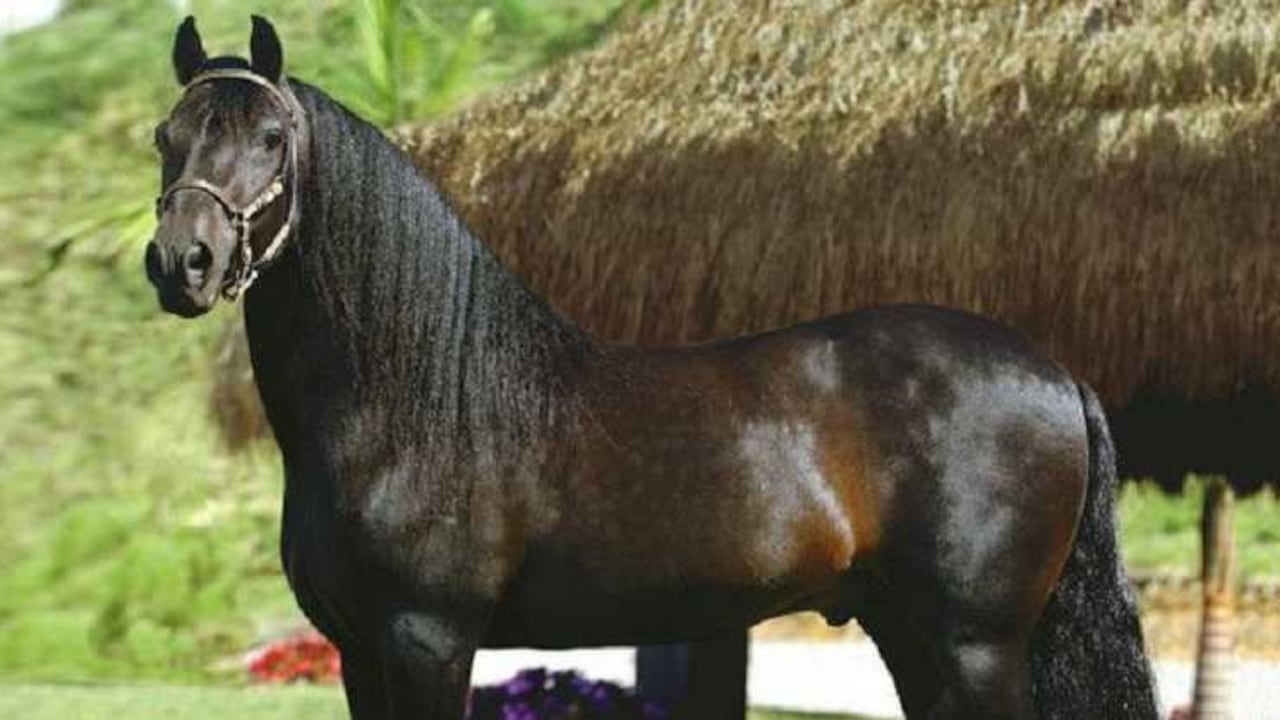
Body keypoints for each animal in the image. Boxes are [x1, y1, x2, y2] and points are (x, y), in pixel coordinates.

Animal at [143, 16, 1157, 720]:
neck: (407, 407)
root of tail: (1056, 374)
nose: (181, 262)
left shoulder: (427, 639)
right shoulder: (358, 650)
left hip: (979, 643)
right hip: (913, 636)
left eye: (272, 139)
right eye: (166, 136)